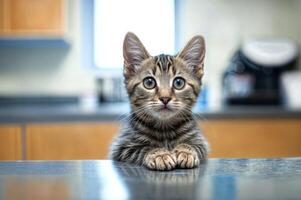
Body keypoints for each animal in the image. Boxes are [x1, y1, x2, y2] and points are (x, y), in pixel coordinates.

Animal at [110, 31, 209, 170]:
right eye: (149, 82)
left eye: (179, 83)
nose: (165, 98)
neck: (164, 129)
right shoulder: (121, 147)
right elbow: (143, 148)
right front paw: (160, 154)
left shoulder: (200, 141)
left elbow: (193, 145)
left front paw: (186, 151)